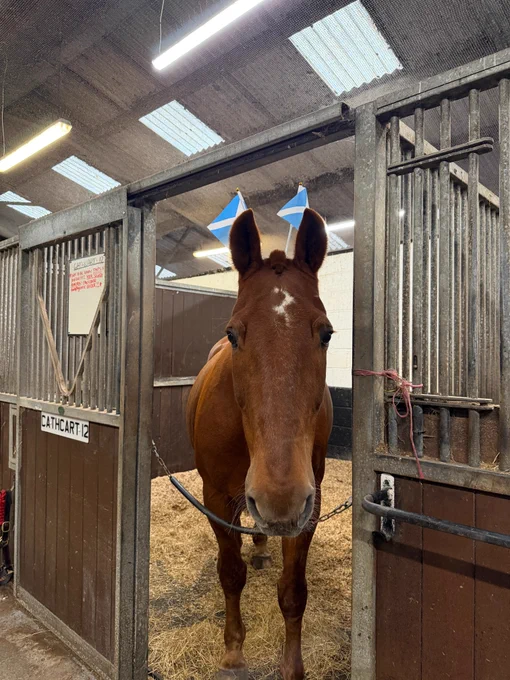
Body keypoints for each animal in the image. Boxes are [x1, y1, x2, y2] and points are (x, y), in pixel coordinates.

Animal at [186, 207, 334, 680]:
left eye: (326, 333)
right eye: (234, 333)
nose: (278, 499)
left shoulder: (310, 504)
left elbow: (293, 591)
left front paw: (292, 666)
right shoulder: (216, 497)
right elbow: (231, 574)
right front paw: (234, 651)